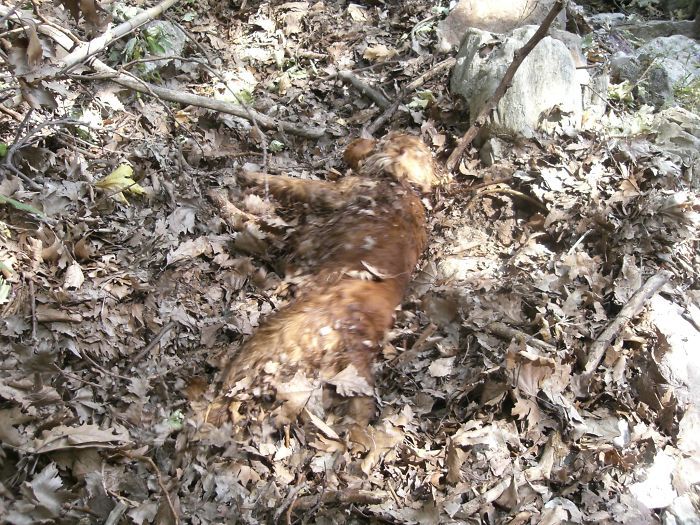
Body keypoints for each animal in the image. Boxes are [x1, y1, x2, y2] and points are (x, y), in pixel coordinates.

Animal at [205, 133, 440, 428]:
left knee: (230, 388)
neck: (405, 184)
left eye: (384, 138)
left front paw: (243, 183)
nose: (357, 141)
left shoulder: (324, 199)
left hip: (273, 335)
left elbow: (284, 187)